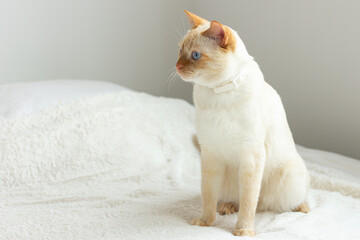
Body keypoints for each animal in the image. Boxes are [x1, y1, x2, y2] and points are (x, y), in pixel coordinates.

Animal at [175, 10, 310, 237]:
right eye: (179, 51)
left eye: (195, 56)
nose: (176, 66)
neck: (218, 93)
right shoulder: (210, 153)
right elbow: (208, 197)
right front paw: (205, 222)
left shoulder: (251, 155)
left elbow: (249, 201)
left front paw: (244, 230)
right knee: (240, 201)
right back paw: (226, 207)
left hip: (289, 177)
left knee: (273, 203)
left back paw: (302, 207)